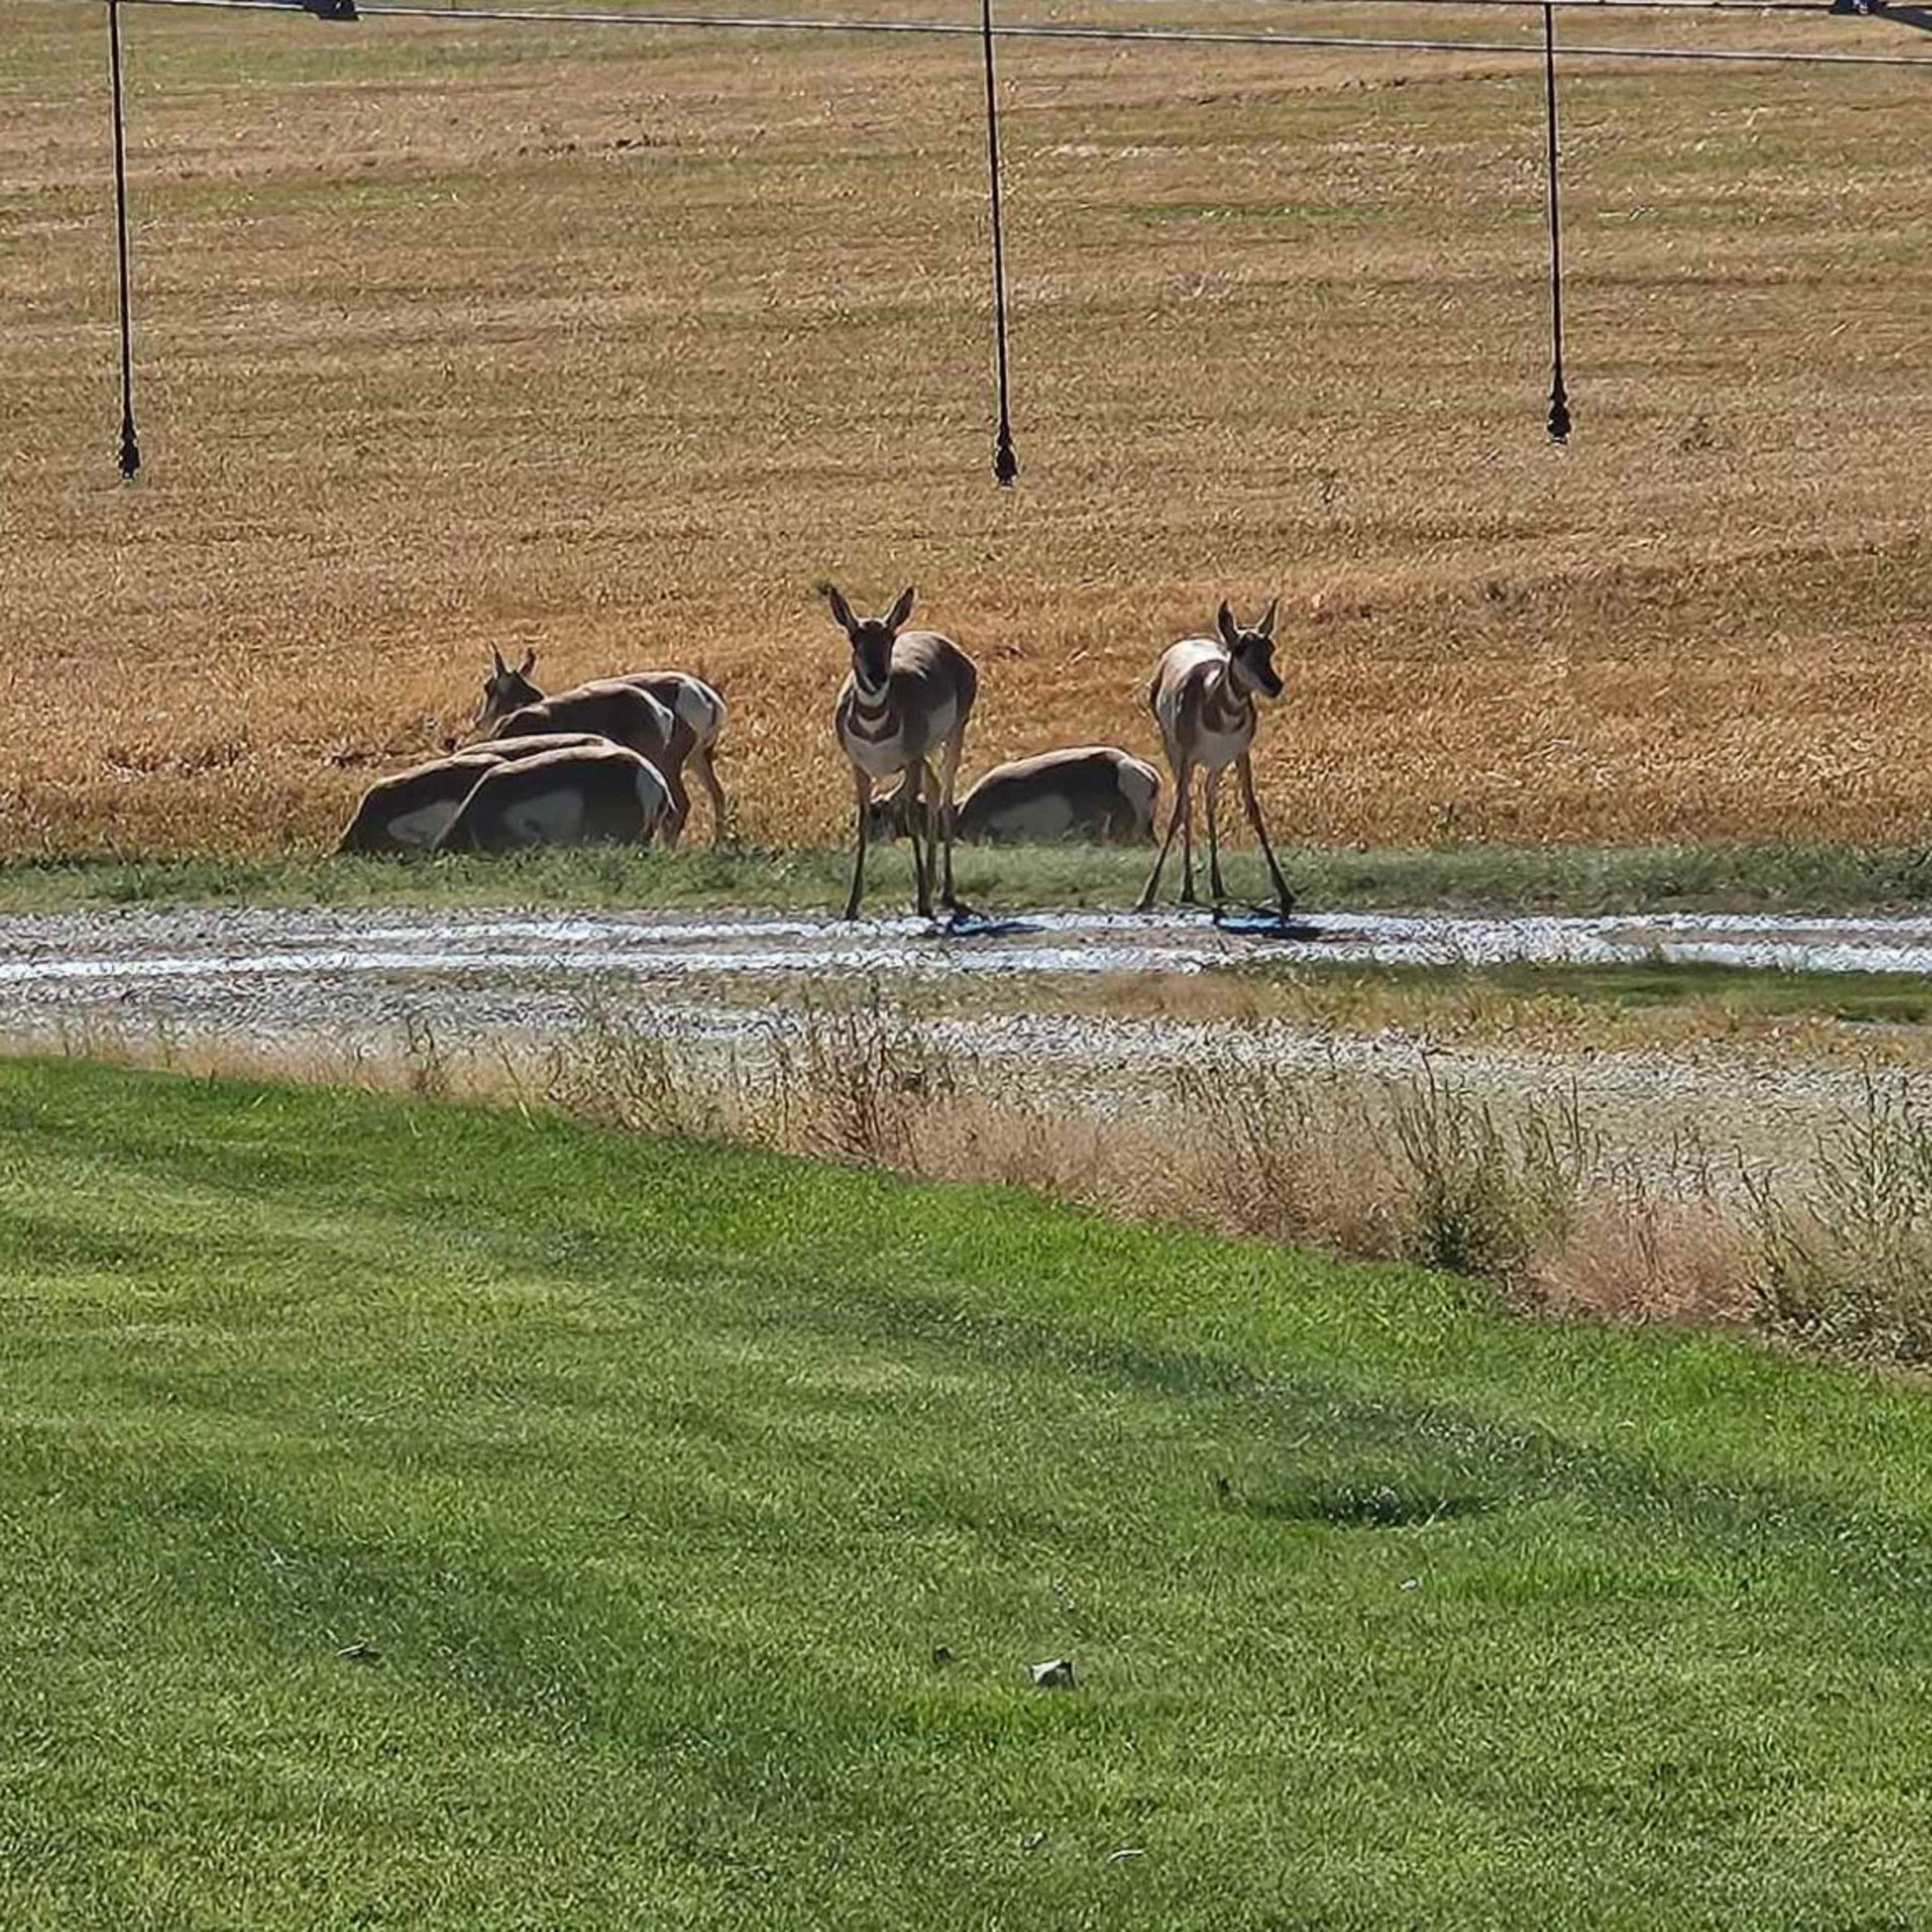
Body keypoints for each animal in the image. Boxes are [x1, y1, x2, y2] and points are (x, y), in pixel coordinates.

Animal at [473, 649, 729, 846]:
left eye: (488, 687)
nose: (478, 721)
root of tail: (708, 697)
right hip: (698, 760)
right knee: (717, 795)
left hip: (668, 766)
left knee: (681, 806)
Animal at [824, 583, 977, 922]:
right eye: (855, 639)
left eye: (889, 638)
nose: (878, 676)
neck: (874, 729)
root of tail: (946, 644)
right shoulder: (860, 768)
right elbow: (864, 819)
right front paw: (851, 906)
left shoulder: (910, 760)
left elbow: (908, 814)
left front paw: (923, 904)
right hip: (926, 756)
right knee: (934, 790)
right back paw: (932, 884)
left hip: (953, 738)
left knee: (945, 798)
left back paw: (944, 893)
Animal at [1138, 599, 1295, 919]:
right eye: (1240, 649)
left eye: (1270, 647)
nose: (1275, 685)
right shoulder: (1187, 755)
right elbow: (1178, 813)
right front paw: (1147, 895)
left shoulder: (1241, 754)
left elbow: (1253, 809)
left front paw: (1285, 892)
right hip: (1174, 752)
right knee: (1188, 804)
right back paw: (1188, 888)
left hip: (1216, 764)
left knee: (1208, 798)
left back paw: (1217, 885)